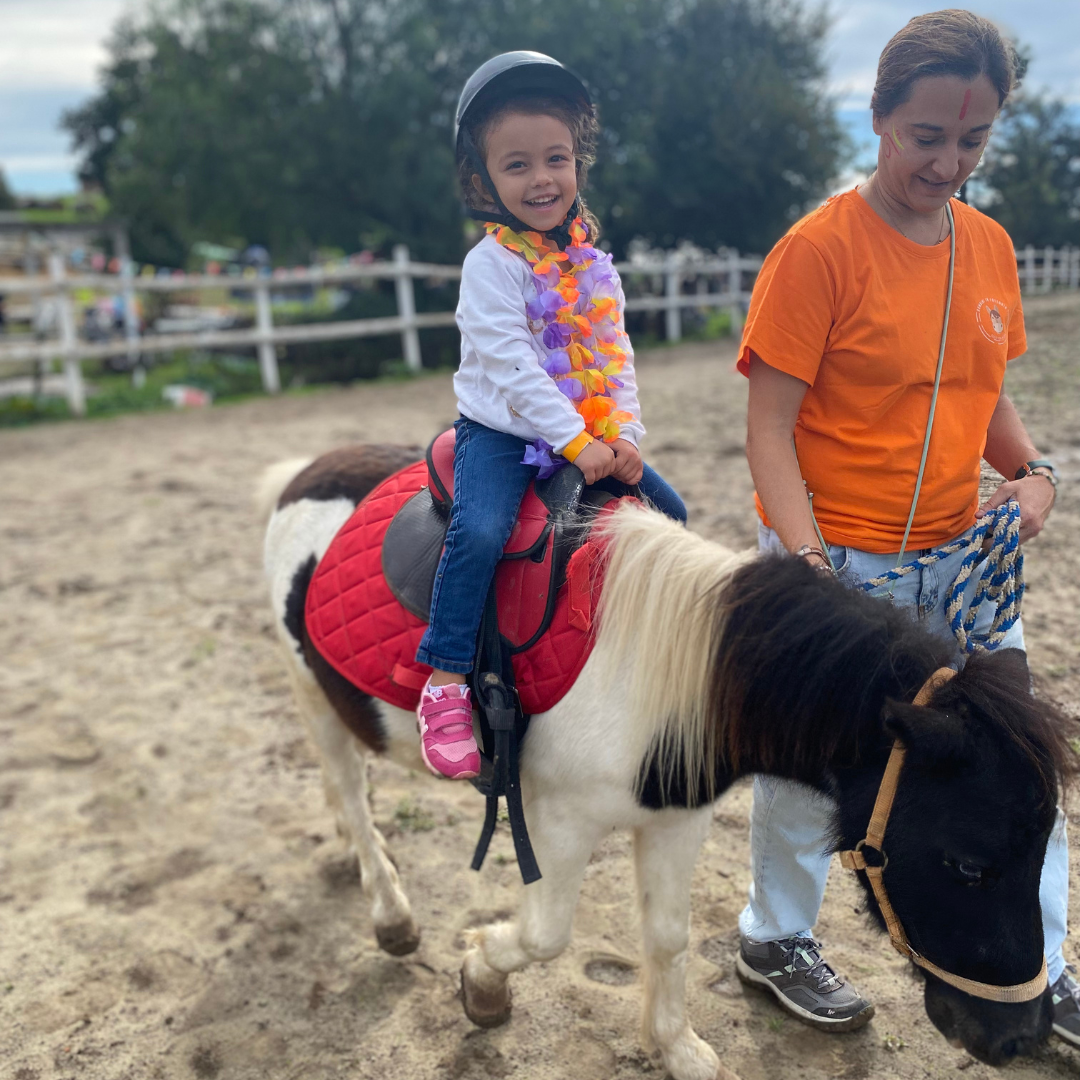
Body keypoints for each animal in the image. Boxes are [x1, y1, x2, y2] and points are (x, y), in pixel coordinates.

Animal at [259, 442, 1071, 1075]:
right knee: (349, 788)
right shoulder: (558, 823)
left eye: (1045, 850)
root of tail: (307, 472)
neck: (680, 673)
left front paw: (677, 1050)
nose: (1018, 1036)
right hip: (312, 692)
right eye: (967, 865)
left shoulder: (676, 818)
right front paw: (482, 981)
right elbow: (544, 937)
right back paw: (390, 910)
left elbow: (669, 938)